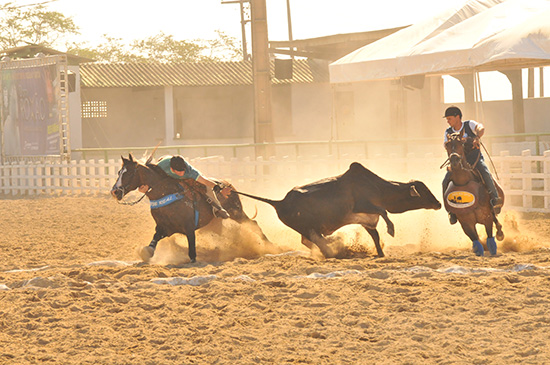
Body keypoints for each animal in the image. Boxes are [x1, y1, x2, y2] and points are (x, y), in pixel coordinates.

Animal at [110, 153, 270, 262]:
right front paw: (146, 252)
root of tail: (227, 184)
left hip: (236, 212)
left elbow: (192, 251)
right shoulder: (164, 227)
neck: (167, 192)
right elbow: (153, 241)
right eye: (119, 172)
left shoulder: (189, 227)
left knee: (253, 224)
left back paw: (270, 245)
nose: (115, 192)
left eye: (129, 173)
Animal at [237, 161, 444, 258]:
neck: (379, 189)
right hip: (307, 226)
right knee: (314, 239)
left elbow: (375, 235)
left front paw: (380, 253)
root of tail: (279, 202)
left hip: (306, 228)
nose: (438, 204)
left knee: (309, 241)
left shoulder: (368, 219)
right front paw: (391, 229)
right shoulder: (364, 205)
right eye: (424, 191)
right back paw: (332, 251)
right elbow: (384, 212)